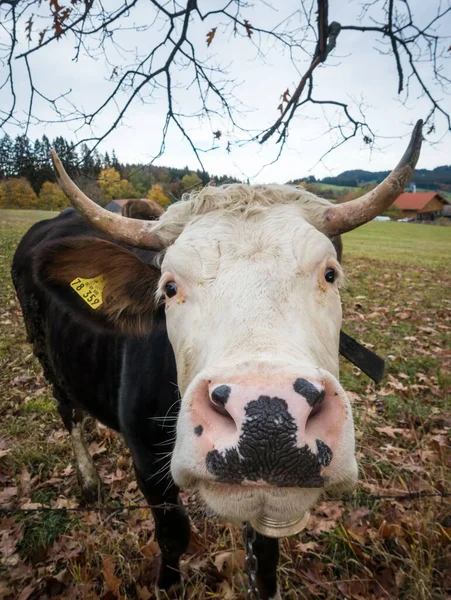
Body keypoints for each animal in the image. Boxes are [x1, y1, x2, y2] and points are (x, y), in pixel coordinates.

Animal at [12, 119, 426, 596]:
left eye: (330, 274)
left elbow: (265, 554)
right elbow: (174, 534)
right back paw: (89, 480)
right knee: (70, 414)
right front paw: (168, 584)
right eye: (170, 287)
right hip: (46, 358)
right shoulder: (148, 463)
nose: (267, 419)